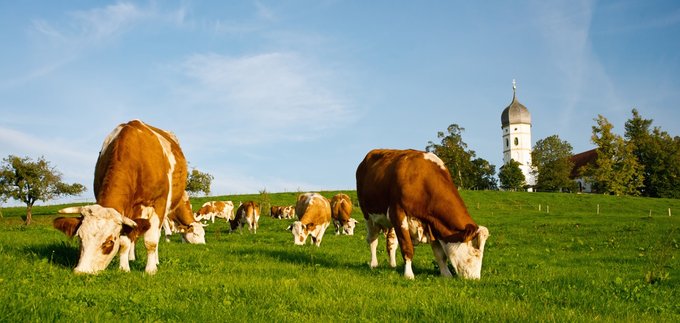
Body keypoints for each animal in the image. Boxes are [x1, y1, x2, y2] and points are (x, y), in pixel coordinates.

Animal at [52, 120, 205, 274]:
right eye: (80, 238)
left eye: (109, 242)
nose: (82, 271)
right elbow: (125, 241)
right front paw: (124, 268)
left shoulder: (159, 205)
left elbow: (151, 241)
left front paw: (150, 270)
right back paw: (132, 257)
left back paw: (155, 261)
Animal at [356, 151, 488, 280]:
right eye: (475, 253)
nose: (475, 279)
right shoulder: (398, 213)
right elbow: (407, 247)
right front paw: (409, 274)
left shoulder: (432, 223)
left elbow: (440, 254)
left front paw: (446, 274)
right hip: (368, 215)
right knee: (373, 240)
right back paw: (373, 264)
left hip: (390, 223)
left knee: (391, 243)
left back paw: (392, 265)